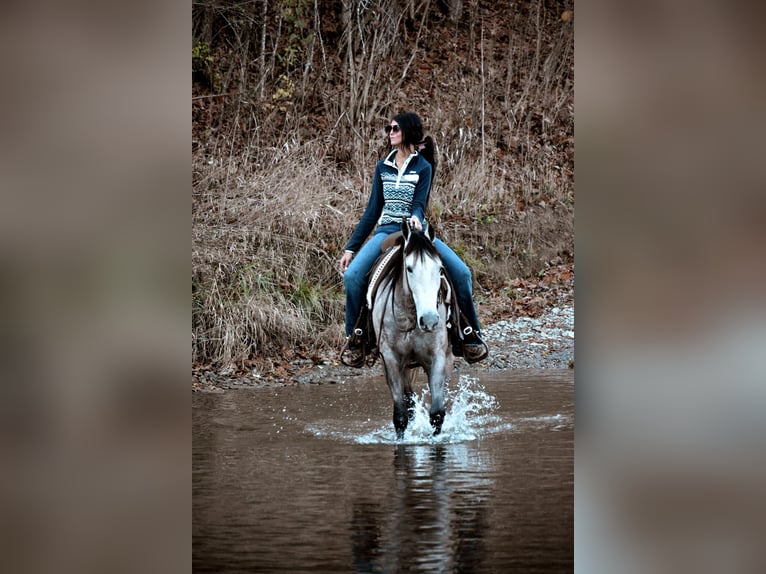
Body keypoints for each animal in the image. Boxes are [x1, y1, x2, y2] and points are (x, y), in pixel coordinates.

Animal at [372, 222, 456, 440]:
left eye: (440, 268)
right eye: (409, 268)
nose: (430, 320)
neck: (410, 315)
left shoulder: (437, 357)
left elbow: (437, 413)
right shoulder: (391, 360)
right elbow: (401, 416)